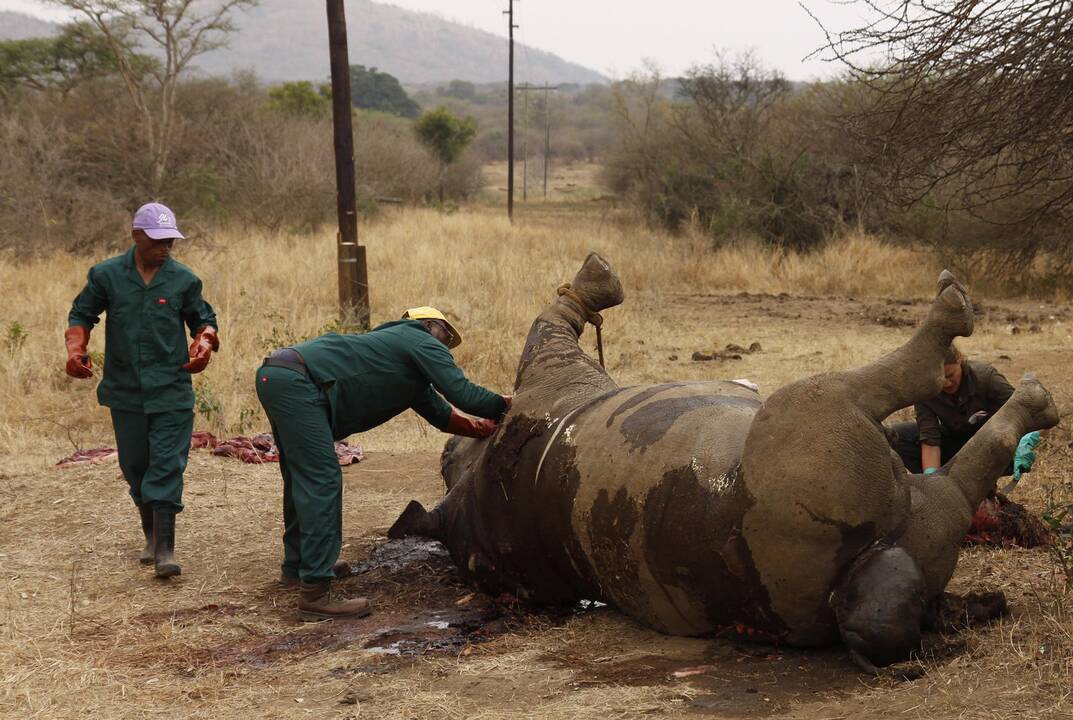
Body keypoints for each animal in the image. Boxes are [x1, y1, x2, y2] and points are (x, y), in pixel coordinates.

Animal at [388, 255, 1055, 669]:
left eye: (449, 452)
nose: (450, 445)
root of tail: (863, 574)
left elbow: (559, 319)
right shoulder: (548, 371)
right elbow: (556, 321)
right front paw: (600, 281)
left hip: (882, 523)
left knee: (940, 499)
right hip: (806, 464)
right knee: (861, 404)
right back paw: (1010, 372)